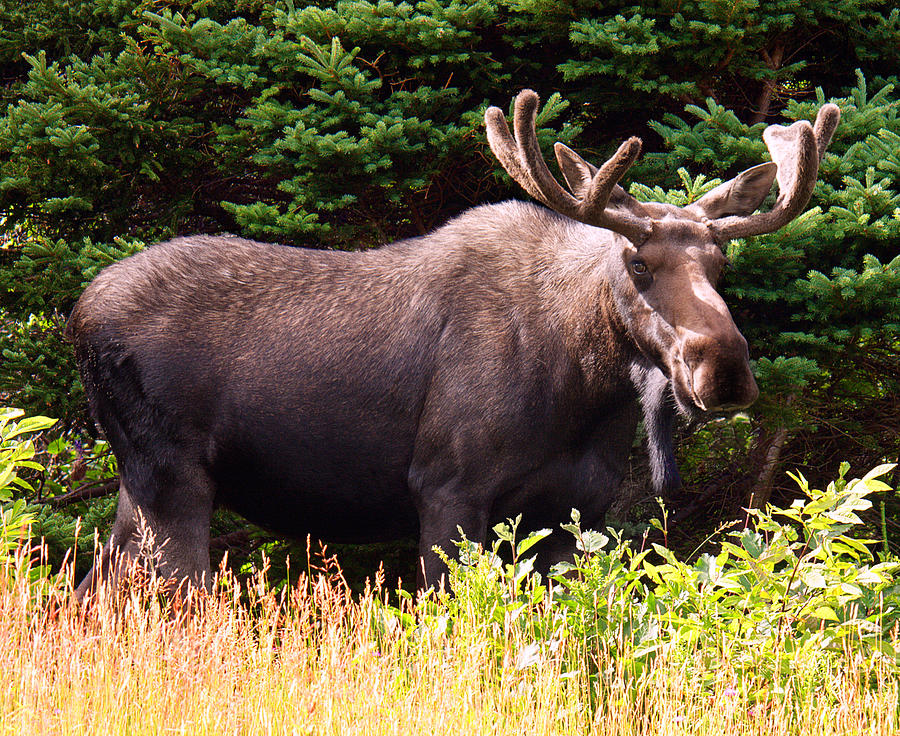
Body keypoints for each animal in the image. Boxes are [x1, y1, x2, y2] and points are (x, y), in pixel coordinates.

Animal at [67, 92, 840, 600]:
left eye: (721, 265)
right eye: (638, 264)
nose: (725, 369)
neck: (585, 392)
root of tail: (77, 315)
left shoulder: (575, 511)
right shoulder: (446, 491)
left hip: (139, 484)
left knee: (92, 589)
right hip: (172, 476)